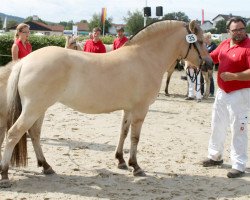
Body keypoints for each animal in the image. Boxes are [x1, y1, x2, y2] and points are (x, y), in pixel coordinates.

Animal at [0, 19, 210, 187]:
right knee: (13, 134)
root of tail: (25, 62)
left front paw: (121, 161)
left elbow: (123, 132)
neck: (145, 57)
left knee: (34, 134)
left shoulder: (128, 109)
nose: (209, 64)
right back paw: (5, 175)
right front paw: (136, 166)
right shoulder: (140, 110)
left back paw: (46, 166)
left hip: (39, 109)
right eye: (199, 41)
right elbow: (135, 138)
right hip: (33, 109)